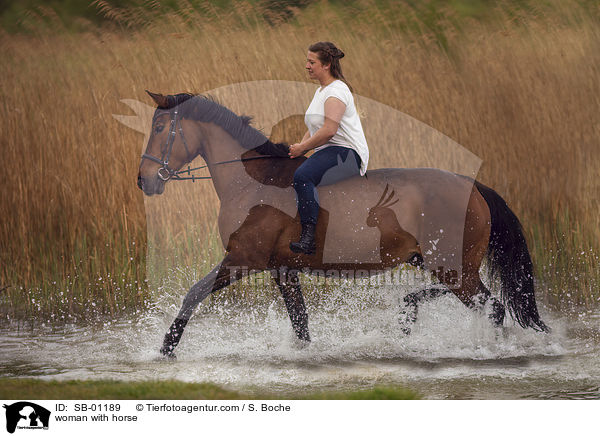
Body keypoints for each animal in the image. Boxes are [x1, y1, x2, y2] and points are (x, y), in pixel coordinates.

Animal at [137, 89, 548, 358]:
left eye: (159, 128)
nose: (144, 181)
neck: (252, 180)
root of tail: (473, 186)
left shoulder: (242, 259)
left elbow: (193, 294)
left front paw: (166, 349)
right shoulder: (282, 269)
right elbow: (300, 323)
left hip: (452, 266)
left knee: (492, 308)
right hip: (436, 262)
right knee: (477, 303)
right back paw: (409, 314)